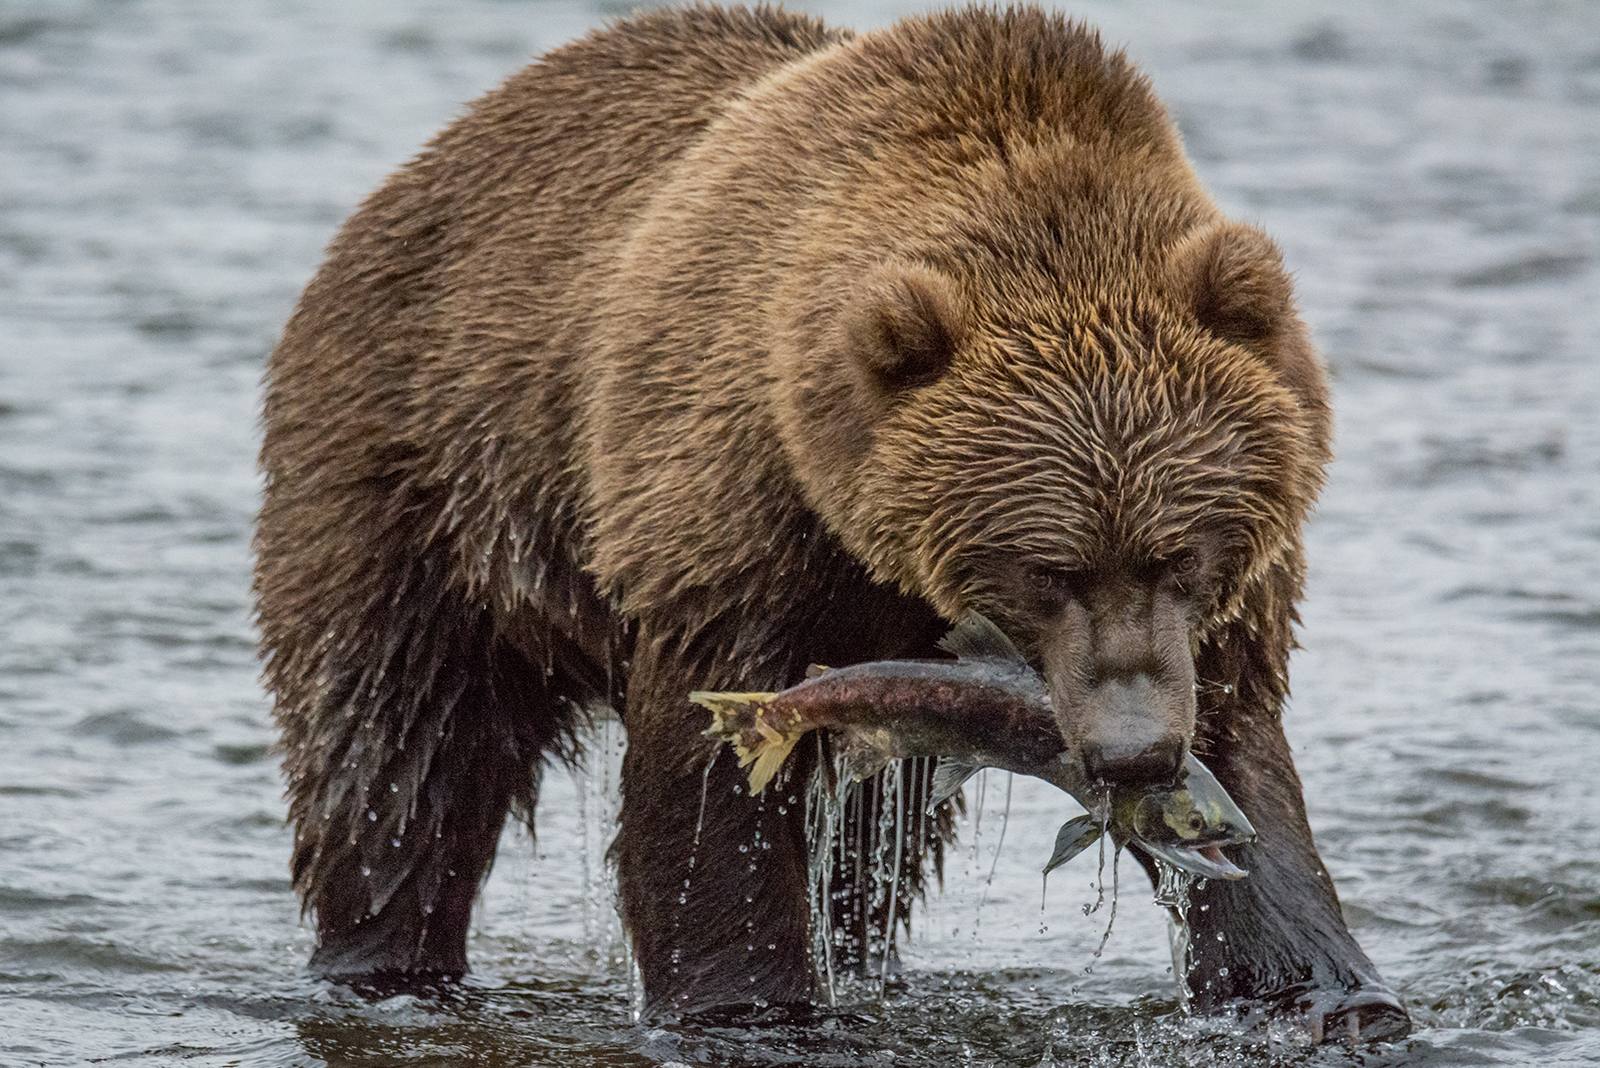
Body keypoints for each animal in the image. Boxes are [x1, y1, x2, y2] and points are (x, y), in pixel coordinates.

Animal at [259, 6, 1414, 1042]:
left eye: (1180, 556)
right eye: (1046, 569)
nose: (1133, 755)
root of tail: (432, 156)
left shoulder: (1219, 608)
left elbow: (1244, 760)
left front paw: (1320, 990)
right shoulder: (732, 508)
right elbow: (710, 795)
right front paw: (745, 1006)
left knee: (870, 850)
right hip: (425, 476)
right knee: (397, 754)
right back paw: (386, 958)